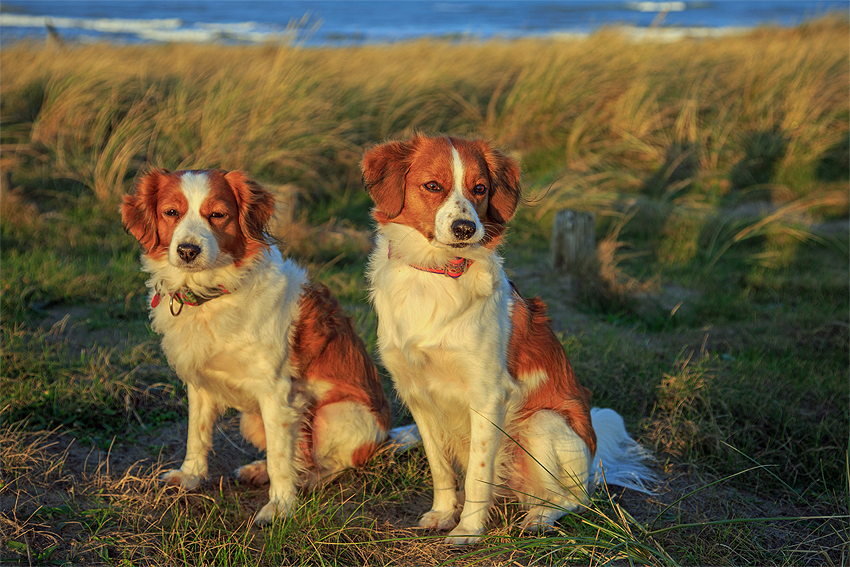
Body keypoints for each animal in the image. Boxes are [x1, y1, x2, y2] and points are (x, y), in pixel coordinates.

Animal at [120, 168, 390, 524]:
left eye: (217, 215)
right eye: (171, 212)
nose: (188, 250)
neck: (213, 295)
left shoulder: (275, 391)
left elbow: (280, 456)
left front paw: (280, 506)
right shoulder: (199, 384)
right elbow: (197, 434)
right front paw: (191, 475)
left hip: (339, 413)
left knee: (329, 464)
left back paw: (307, 481)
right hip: (252, 419)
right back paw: (261, 470)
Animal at [362, 136, 652, 544]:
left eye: (480, 189)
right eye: (432, 186)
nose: (466, 227)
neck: (436, 274)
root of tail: (595, 460)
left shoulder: (487, 396)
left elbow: (478, 475)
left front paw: (468, 530)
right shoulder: (417, 394)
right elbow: (440, 467)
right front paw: (443, 513)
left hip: (540, 423)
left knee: (574, 501)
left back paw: (539, 519)